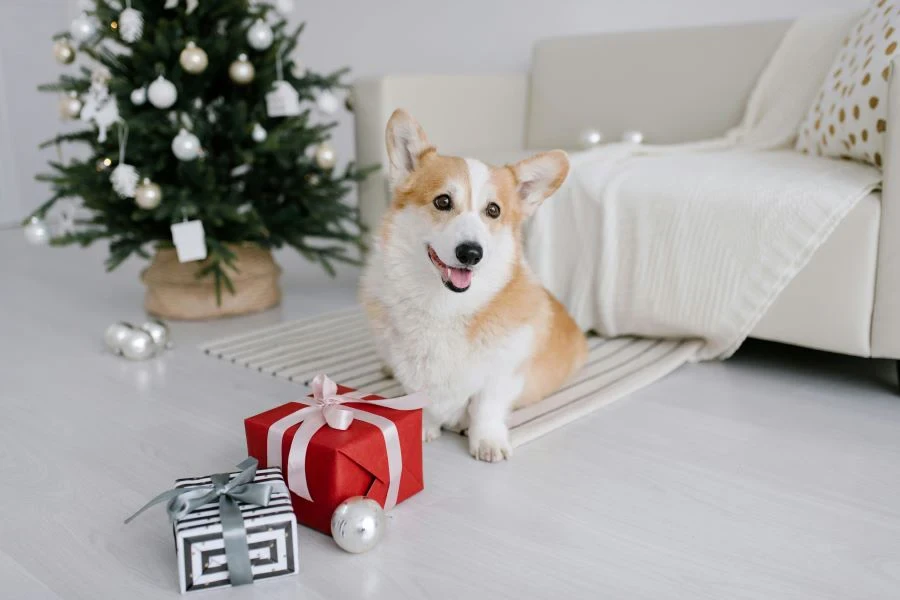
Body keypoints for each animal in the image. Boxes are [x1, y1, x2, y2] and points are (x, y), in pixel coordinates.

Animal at [360, 110, 592, 462]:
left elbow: (486, 408)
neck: (445, 305)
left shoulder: (502, 375)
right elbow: (422, 397)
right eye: (442, 201)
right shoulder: (414, 371)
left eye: (493, 210)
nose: (470, 253)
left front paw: (486, 441)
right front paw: (425, 427)